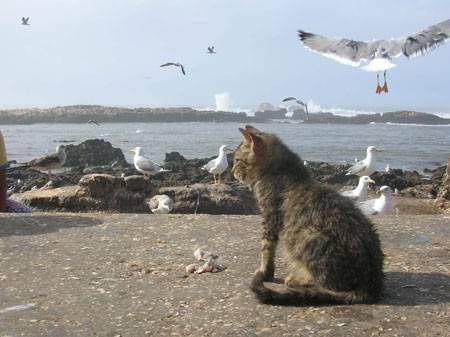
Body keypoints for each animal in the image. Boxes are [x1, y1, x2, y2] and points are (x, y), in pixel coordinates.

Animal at [232, 125, 384, 304]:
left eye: (237, 160)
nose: (232, 171)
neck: (283, 171)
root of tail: (369, 287)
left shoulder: (269, 217)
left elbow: (266, 248)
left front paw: (264, 272)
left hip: (307, 237)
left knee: (326, 285)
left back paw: (299, 279)